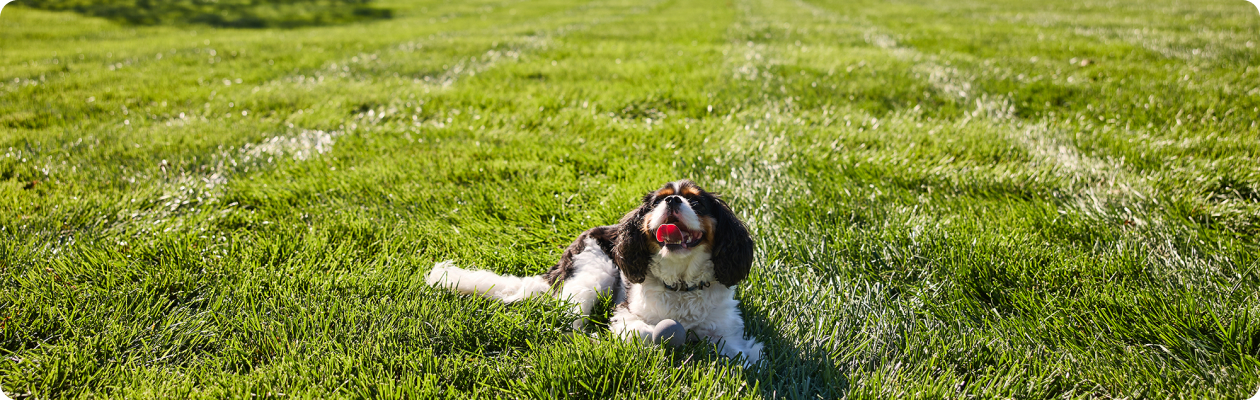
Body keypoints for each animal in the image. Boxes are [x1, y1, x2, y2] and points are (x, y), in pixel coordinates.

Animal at [423, 179, 761, 363]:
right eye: (656, 203)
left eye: (696, 203)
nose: (673, 200)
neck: (680, 282)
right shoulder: (626, 313)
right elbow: (642, 332)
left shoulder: (728, 328)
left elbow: (742, 354)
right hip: (592, 274)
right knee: (568, 322)